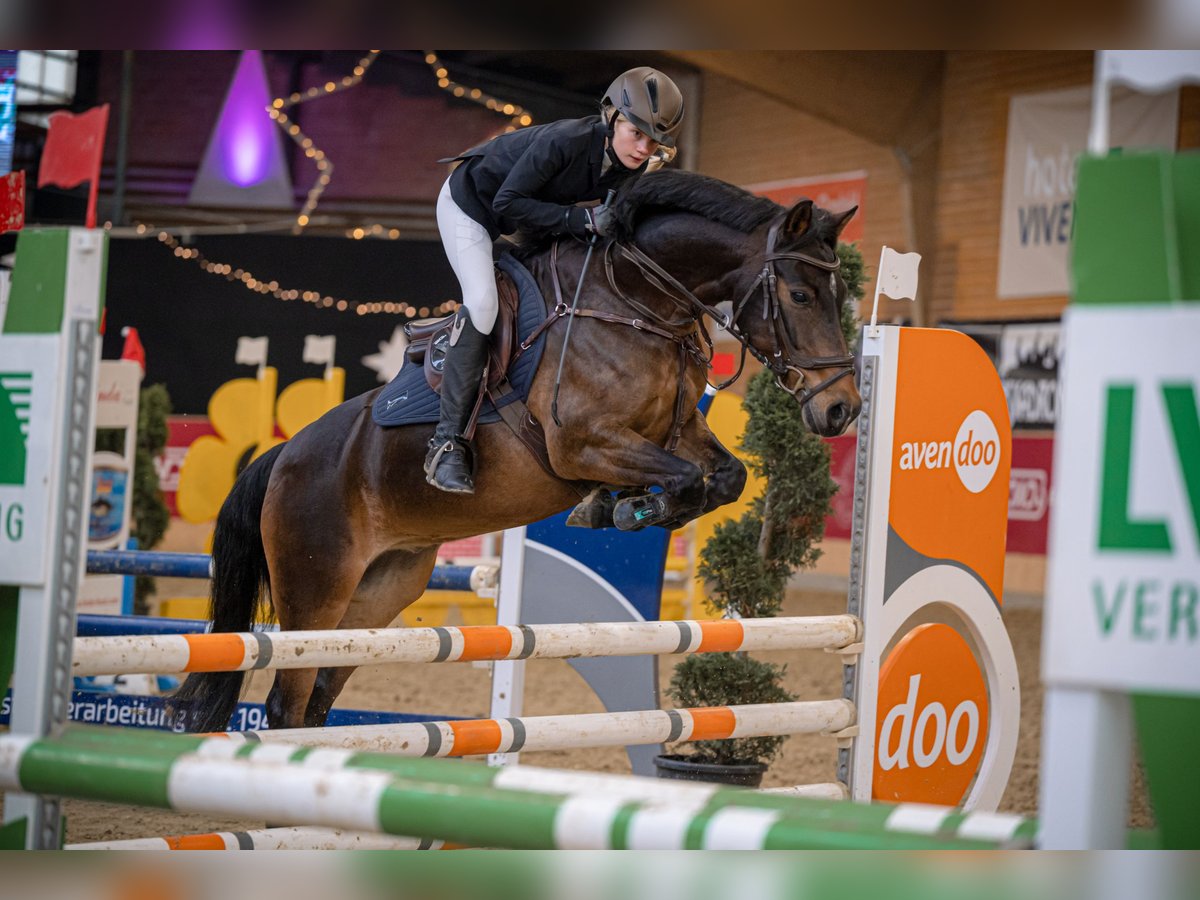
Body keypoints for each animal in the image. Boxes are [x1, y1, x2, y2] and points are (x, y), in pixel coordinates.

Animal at [174, 169, 859, 734]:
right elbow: (687, 480)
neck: (635, 302)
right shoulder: (580, 443)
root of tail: (284, 457)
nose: (842, 408)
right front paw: (624, 508)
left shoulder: (677, 428)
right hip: (315, 590)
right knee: (286, 702)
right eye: (801, 296)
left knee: (317, 698)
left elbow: (725, 477)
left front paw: (620, 507)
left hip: (377, 594)